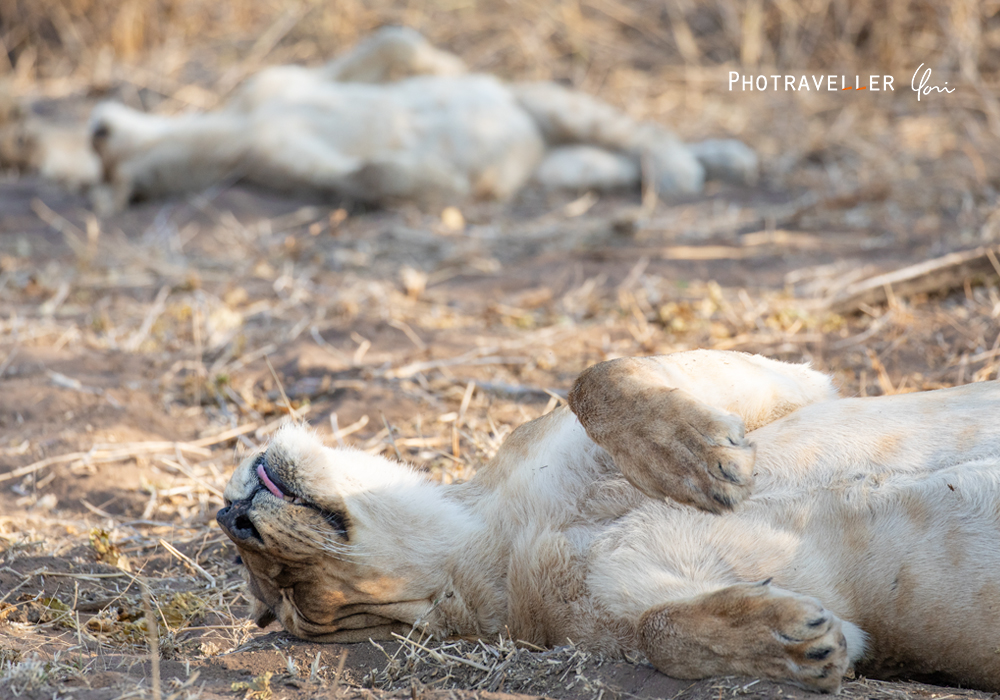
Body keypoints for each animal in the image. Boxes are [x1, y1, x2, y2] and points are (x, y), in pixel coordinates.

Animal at [217, 352, 1000, 692]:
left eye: (281, 589)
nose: (231, 520)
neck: (507, 532)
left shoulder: (788, 381)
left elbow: (594, 378)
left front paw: (696, 461)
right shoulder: (615, 606)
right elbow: (661, 631)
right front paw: (798, 645)